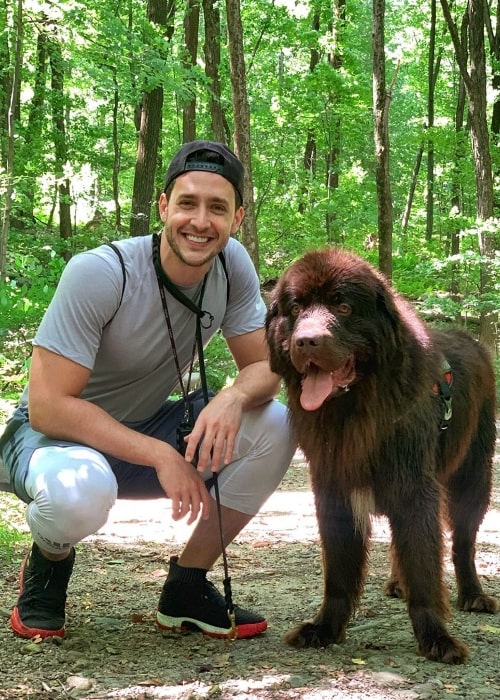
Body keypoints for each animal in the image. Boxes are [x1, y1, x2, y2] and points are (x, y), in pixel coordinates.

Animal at [266, 249, 496, 664]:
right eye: (295, 308)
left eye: (342, 306)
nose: (306, 341)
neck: (356, 408)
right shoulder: (332, 488)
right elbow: (339, 571)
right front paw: (324, 628)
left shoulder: (414, 489)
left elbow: (423, 563)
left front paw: (436, 636)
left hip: (475, 473)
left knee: (463, 542)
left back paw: (473, 594)